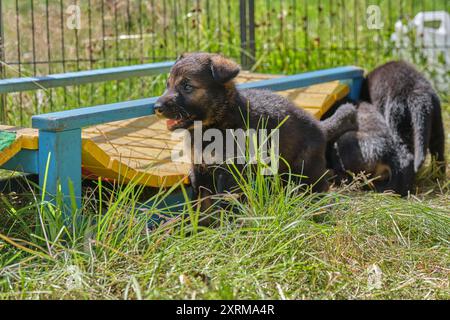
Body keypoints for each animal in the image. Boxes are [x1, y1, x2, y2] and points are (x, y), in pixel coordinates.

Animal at [154, 52, 356, 210]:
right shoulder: (199, 173)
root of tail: (320, 126)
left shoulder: (230, 175)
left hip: (305, 170)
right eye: (167, 84)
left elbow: (223, 207)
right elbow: (201, 210)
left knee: (318, 187)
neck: (213, 124)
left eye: (187, 86)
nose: (156, 107)